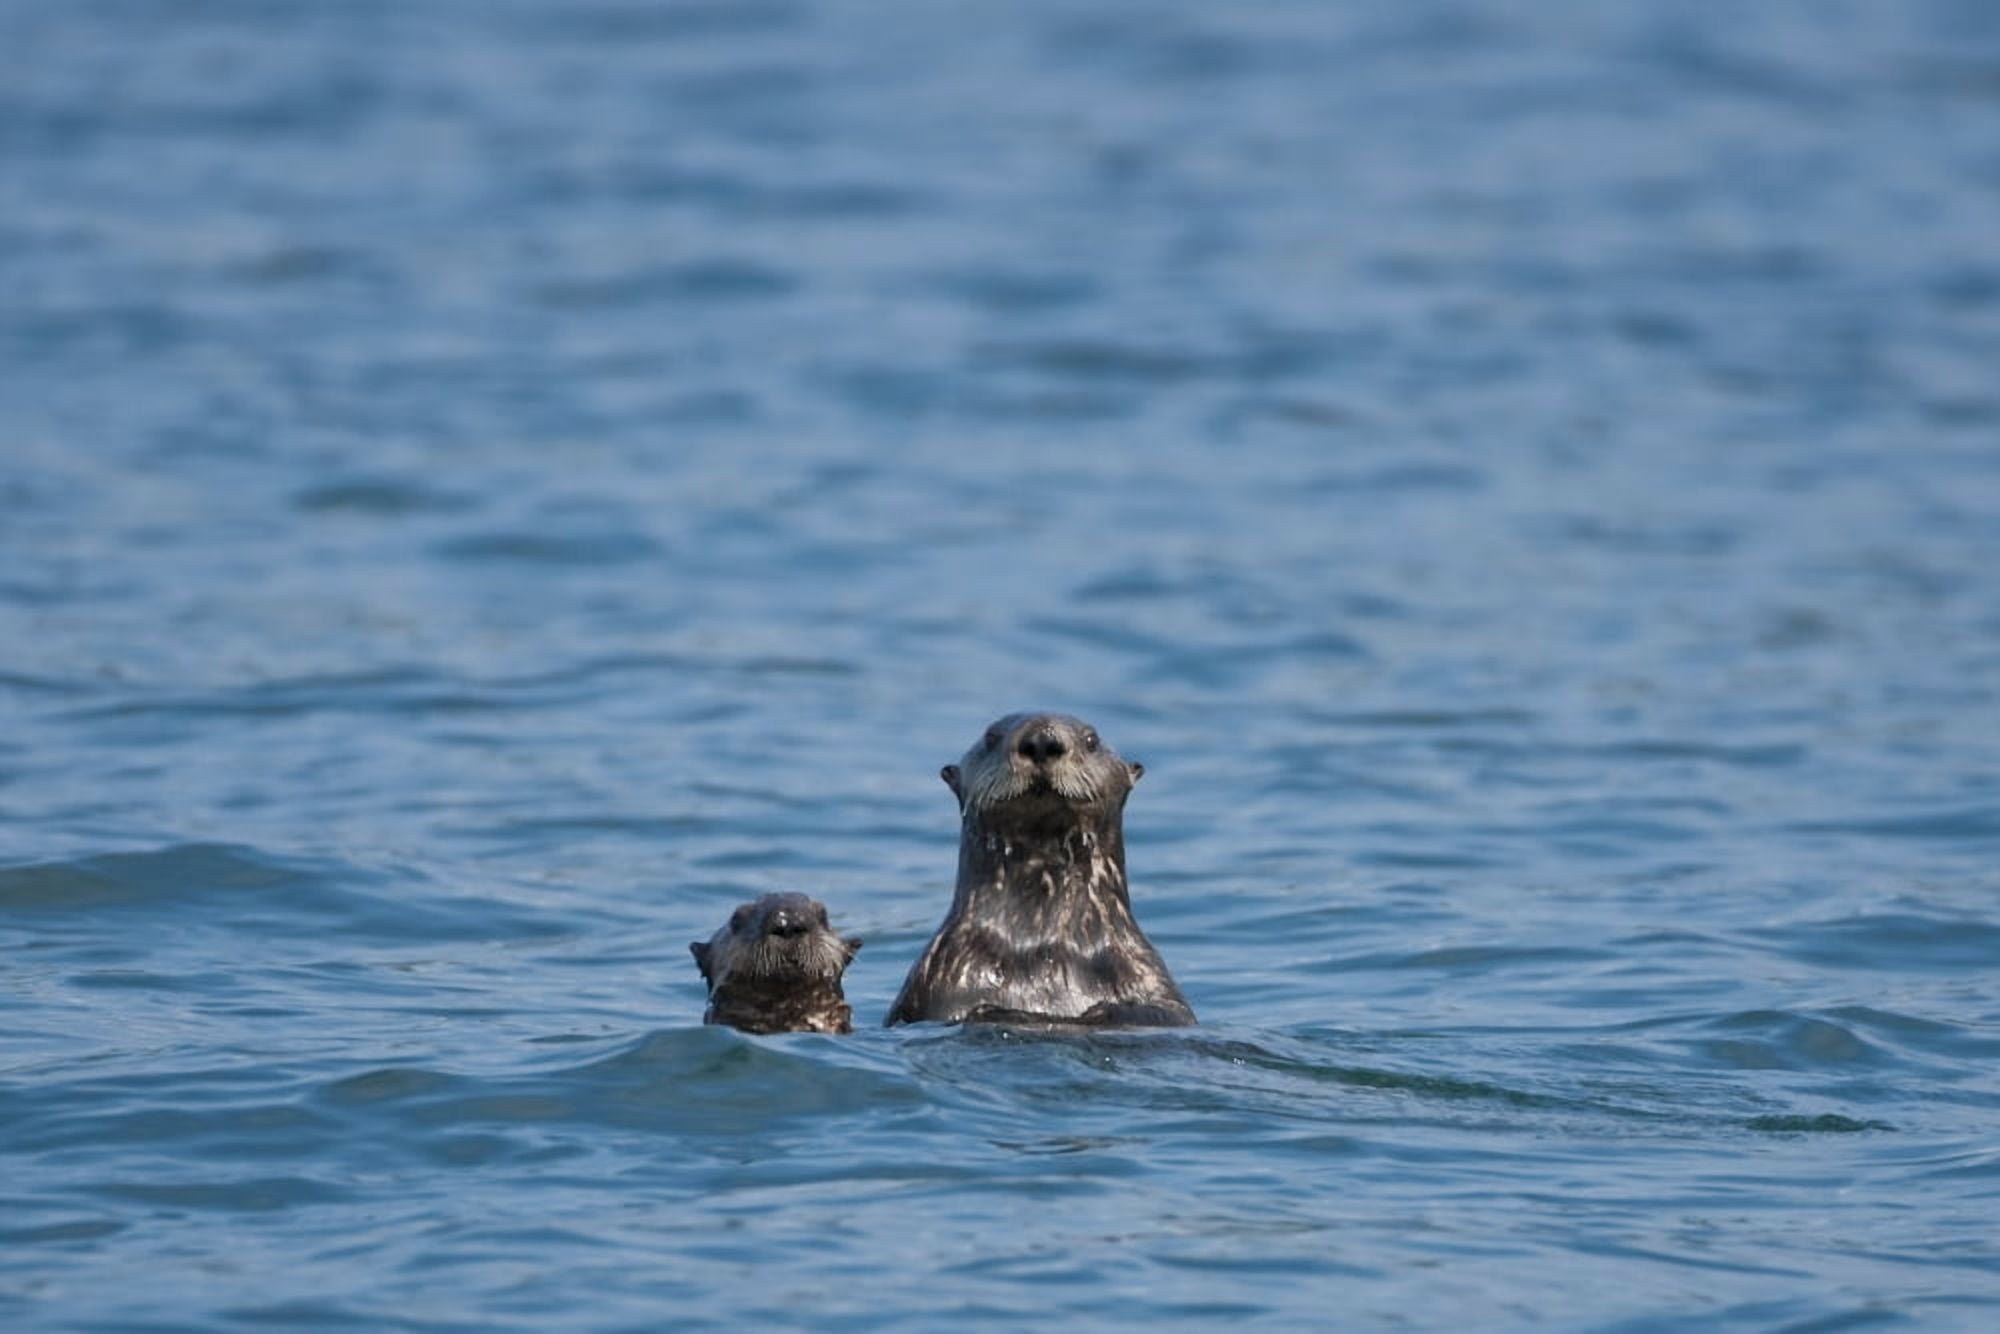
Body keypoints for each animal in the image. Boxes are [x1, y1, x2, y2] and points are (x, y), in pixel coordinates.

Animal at [886, 712, 1195, 1028]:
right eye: (991, 737)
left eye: (1091, 740)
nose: (1042, 740)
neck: (1047, 947)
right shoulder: (945, 974)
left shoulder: (1144, 969)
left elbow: (1167, 1011)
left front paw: (1097, 1012)